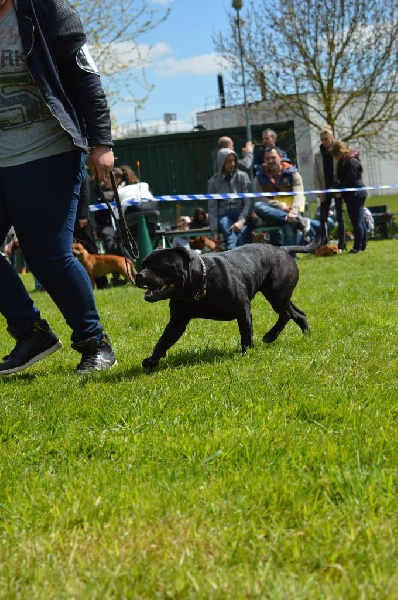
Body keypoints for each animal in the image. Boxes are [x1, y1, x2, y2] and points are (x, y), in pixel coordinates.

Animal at [135, 231, 322, 368]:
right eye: (143, 265)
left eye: (161, 266)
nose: (139, 275)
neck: (200, 284)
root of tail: (283, 249)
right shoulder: (177, 322)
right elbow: (163, 341)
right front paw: (152, 360)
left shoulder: (243, 310)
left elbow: (246, 333)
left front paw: (247, 353)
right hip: (279, 296)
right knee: (296, 313)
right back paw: (303, 333)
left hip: (276, 295)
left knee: (287, 314)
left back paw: (271, 336)